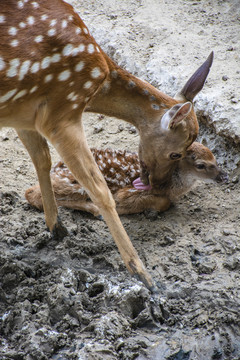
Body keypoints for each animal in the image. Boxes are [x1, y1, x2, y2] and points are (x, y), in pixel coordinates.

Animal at [0, 0, 214, 288]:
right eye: (176, 154)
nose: (159, 186)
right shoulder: (59, 114)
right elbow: (100, 190)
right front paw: (142, 275)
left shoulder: (24, 115)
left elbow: (42, 161)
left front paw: (56, 228)